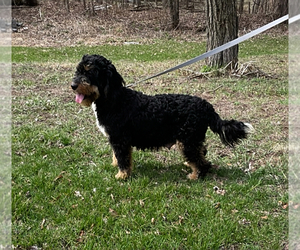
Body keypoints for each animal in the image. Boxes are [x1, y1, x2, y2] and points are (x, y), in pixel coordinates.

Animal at [71, 54, 253, 180]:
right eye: (78, 71)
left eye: (90, 71)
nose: (73, 85)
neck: (114, 99)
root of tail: (207, 106)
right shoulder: (118, 140)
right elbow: (119, 156)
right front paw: (116, 165)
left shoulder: (120, 139)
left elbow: (123, 158)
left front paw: (122, 175)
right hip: (193, 139)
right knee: (202, 152)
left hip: (187, 140)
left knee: (202, 163)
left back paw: (195, 176)